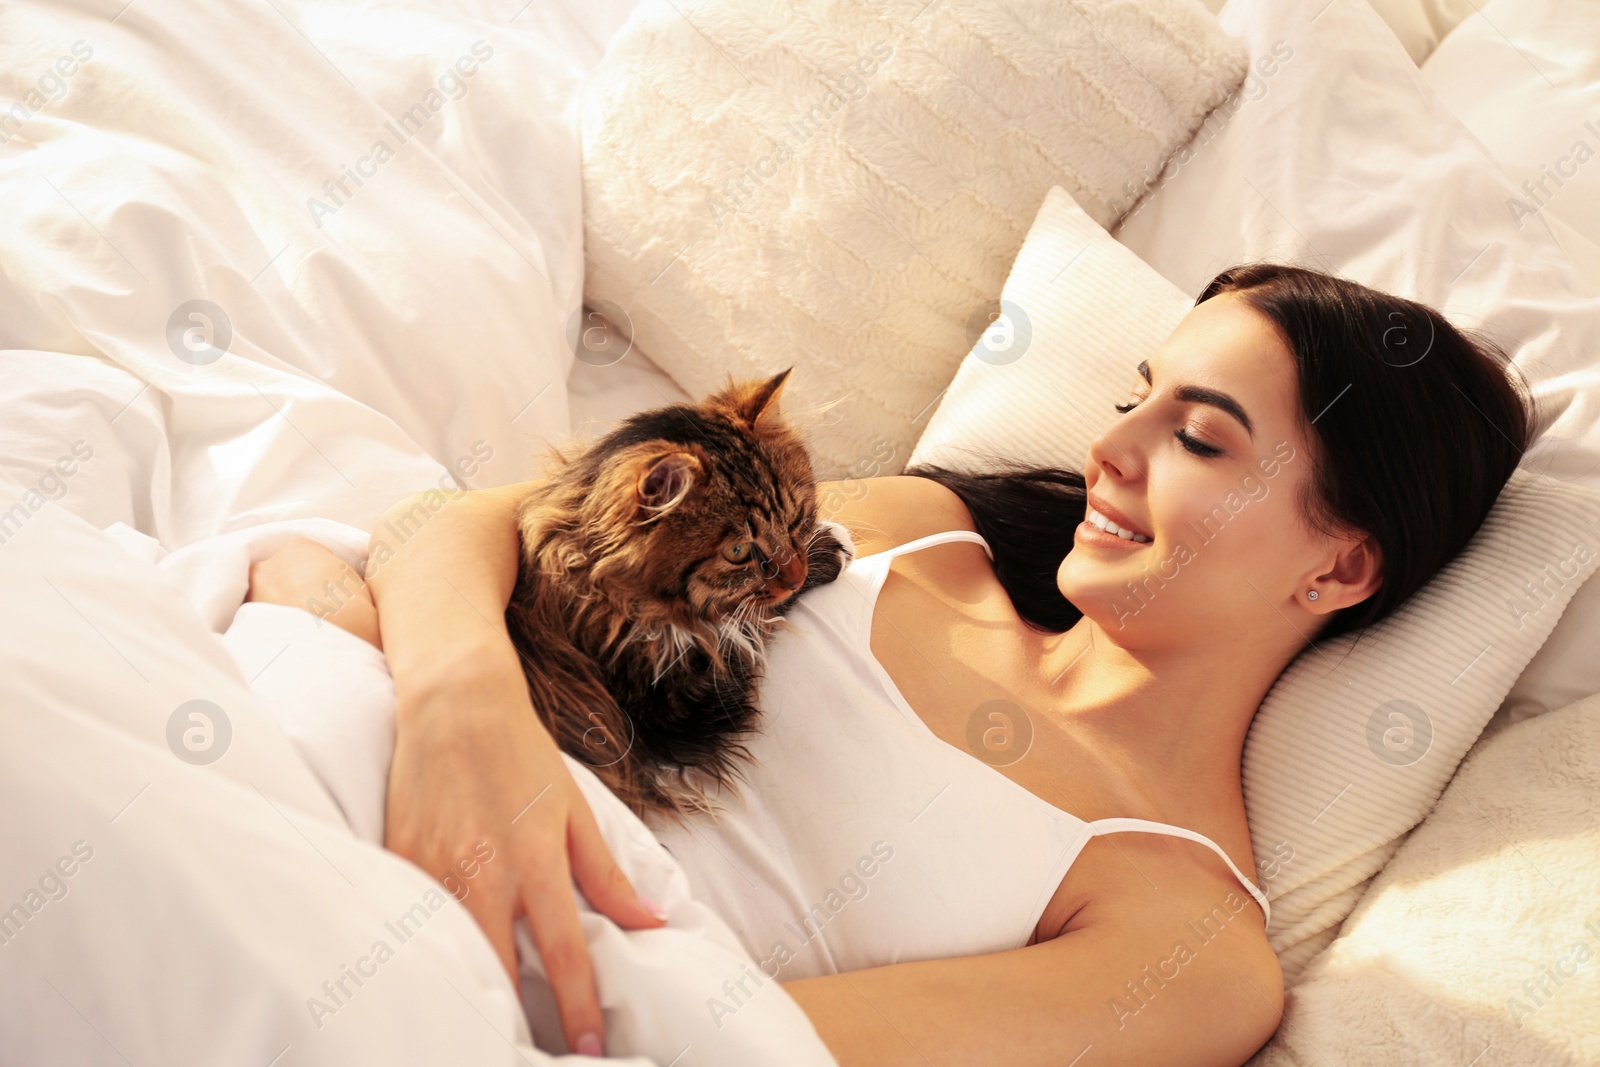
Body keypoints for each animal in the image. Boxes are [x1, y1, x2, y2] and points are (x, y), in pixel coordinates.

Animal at [505, 371, 857, 825]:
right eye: (738, 552)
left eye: (796, 518)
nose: (795, 578)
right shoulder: (680, 708)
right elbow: (749, 615)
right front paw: (832, 547)